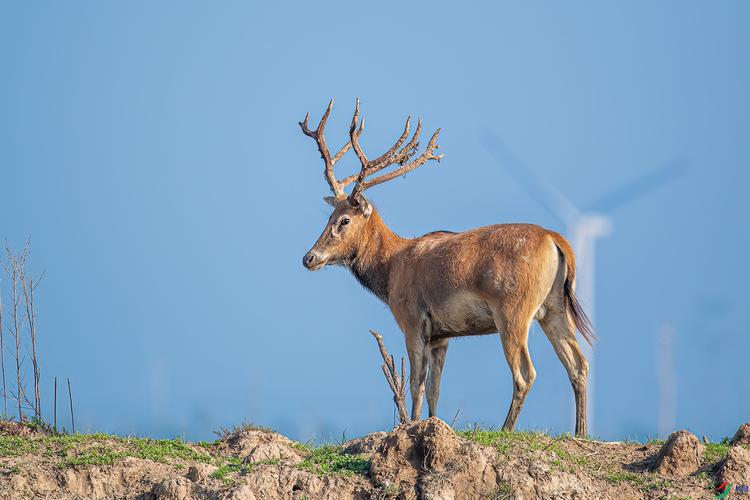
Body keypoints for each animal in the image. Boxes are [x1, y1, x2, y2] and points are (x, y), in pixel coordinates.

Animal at [300, 99, 595, 437]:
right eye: (328, 216)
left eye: (344, 220)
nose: (309, 257)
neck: (391, 270)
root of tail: (556, 240)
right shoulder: (442, 335)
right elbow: (435, 388)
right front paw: (430, 424)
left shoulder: (413, 320)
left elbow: (416, 383)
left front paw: (411, 426)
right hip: (554, 307)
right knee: (578, 363)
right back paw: (580, 432)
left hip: (514, 309)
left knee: (525, 373)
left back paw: (506, 429)